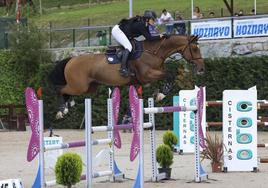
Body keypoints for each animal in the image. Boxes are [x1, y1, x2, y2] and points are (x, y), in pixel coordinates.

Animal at [49, 34, 205, 118]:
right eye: (195, 48)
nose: (201, 68)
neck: (153, 52)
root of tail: (71, 59)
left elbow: (173, 75)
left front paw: (160, 92)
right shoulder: (147, 75)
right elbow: (170, 75)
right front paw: (161, 94)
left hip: (89, 88)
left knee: (66, 91)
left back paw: (68, 105)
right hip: (79, 86)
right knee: (60, 89)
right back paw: (62, 110)